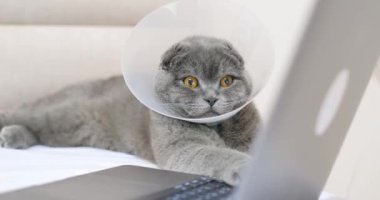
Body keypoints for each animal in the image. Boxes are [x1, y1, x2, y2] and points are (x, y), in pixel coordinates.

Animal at [0, 35, 260, 184]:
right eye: (190, 81)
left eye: (226, 81)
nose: (211, 98)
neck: (217, 128)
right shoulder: (182, 148)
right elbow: (218, 154)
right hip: (61, 111)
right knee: (22, 112)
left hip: (70, 131)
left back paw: (13, 136)